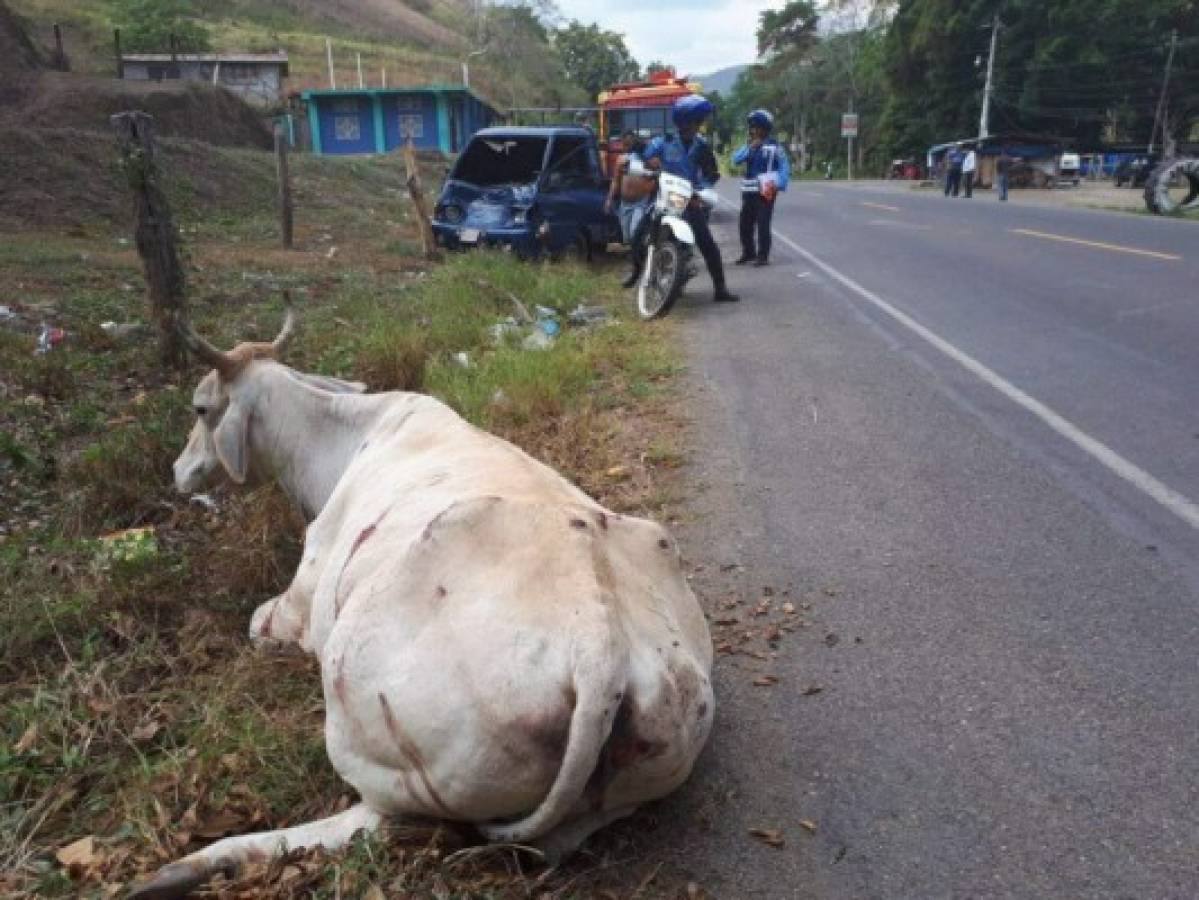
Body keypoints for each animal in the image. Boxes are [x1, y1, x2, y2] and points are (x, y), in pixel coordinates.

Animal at [131, 306, 709, 896]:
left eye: (201, 408)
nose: (178, 471)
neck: (343, 439)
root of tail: (599, 644)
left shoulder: (296, 602)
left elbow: (256, 623)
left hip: (366, 728)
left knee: (383, 820)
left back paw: (201, 861)